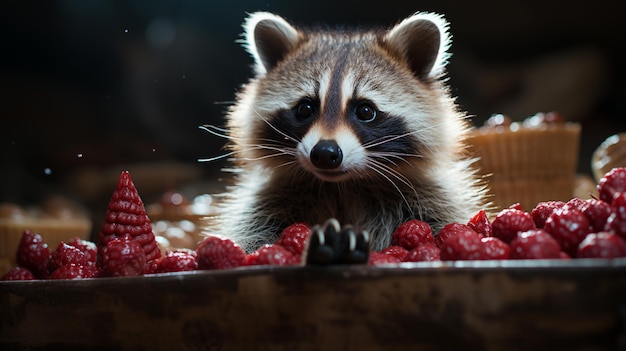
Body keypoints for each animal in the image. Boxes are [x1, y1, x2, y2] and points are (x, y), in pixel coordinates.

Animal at [207, 12, 490, 254]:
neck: (344, 186)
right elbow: (252, 235)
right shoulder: (267, 202)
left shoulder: (429, 199)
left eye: (365, 111)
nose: (324, 152)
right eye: (305, 108)